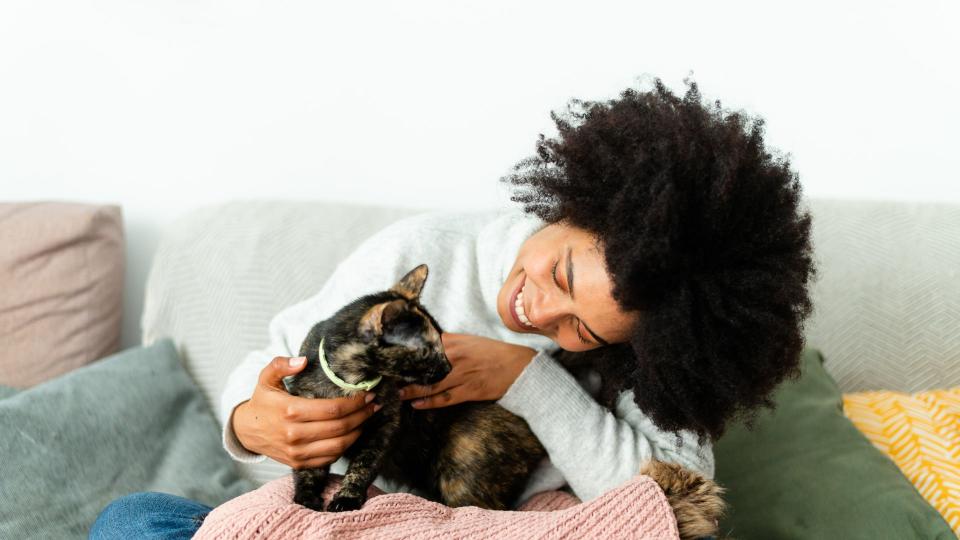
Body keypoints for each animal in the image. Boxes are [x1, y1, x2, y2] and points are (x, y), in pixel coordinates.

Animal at [284, 264, 548, 512]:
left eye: (443, 340)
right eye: (426, 351)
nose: (448, 367)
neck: (353, 379)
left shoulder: (385, 426)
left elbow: (363, 466)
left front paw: (347, 498)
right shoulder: (314, 425)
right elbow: (309, 468)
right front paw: (306, 499)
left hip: (463, 464)